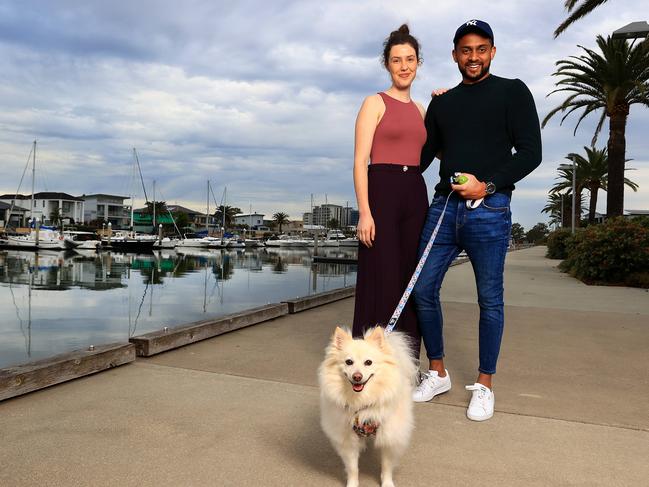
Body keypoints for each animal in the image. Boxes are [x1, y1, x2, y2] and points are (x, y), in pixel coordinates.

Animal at [318, 328, 418, 487]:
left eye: (368, 362)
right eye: (349, 362)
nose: (357, 376)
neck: (362, 400)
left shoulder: (390, 436)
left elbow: (386, 466)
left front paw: (387, 483)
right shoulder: (347, 439)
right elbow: (352, 468)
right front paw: (352, 484)